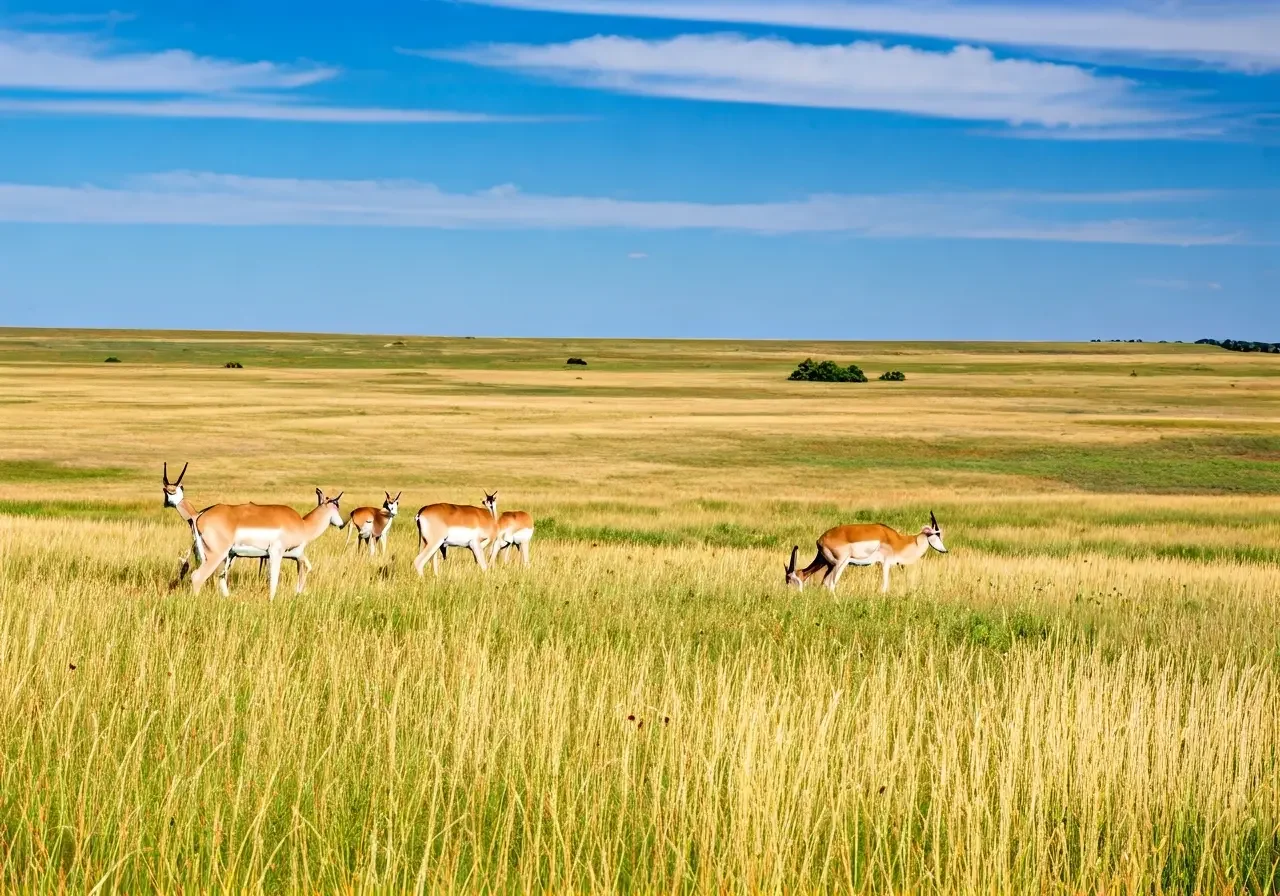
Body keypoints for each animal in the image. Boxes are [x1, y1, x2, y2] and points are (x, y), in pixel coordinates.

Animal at [189, 488, 345, 600]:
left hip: (228, 556)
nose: (342, 524)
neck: (303, 525)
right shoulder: (275, 553)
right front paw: (272, 600)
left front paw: (298, 593)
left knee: (220, 576)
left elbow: (306, 567)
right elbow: (274, 578)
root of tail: (200, 516)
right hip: (216, 556)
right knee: (197, 576)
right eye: (336, 507)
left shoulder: (296, 554)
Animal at [786, 511, 948, 593]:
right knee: (832, 585)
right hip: (841, 563)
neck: (897, 540)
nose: (945, 550)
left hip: (829, 564)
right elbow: (884, 586)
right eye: (937, 534)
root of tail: (820, 539)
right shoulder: (885, 564)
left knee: (825, 583)